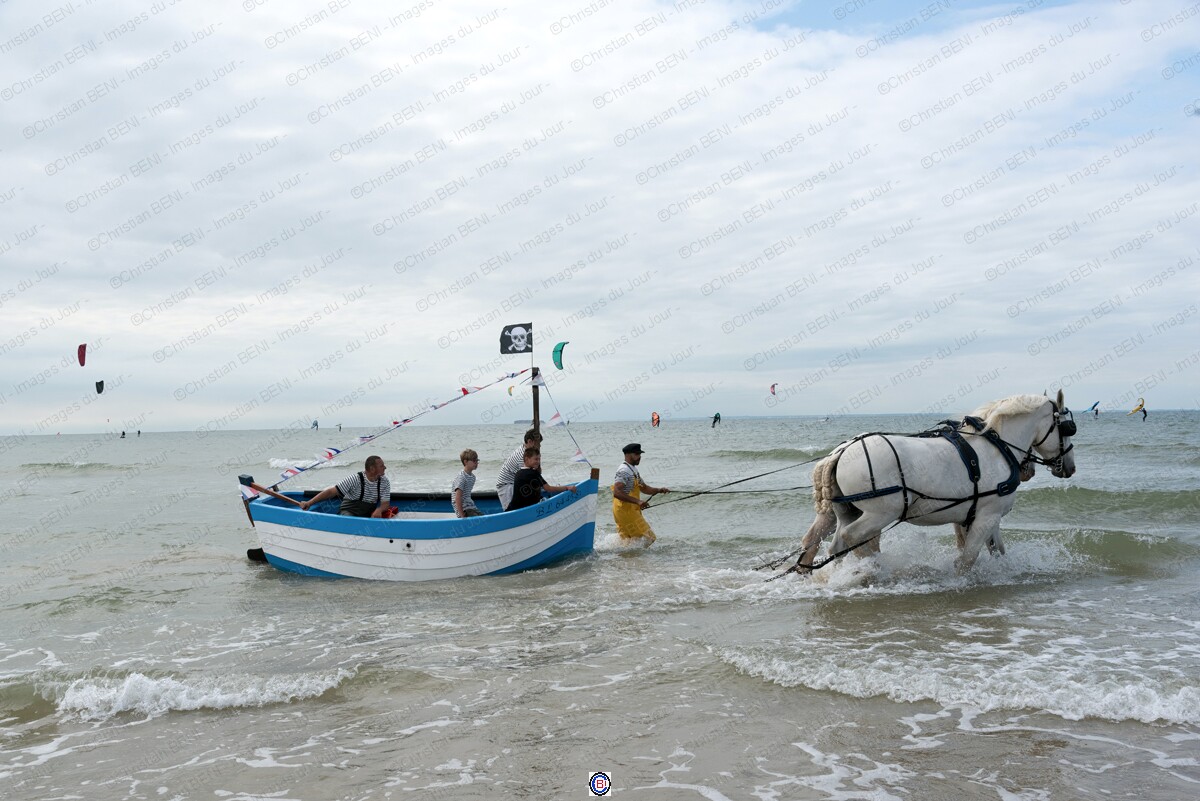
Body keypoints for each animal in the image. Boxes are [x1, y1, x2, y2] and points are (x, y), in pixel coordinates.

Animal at [794, 391, 1076, 575]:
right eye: (1068, 428)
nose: (1070, 467)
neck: (997, 447)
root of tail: (841, 452)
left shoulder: (983, 516)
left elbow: (996, 550)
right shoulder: (988, 516)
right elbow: (967, 559)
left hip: (846, 510)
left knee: (836, 545)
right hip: (880, 514)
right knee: (852, 538)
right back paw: (873, 571)